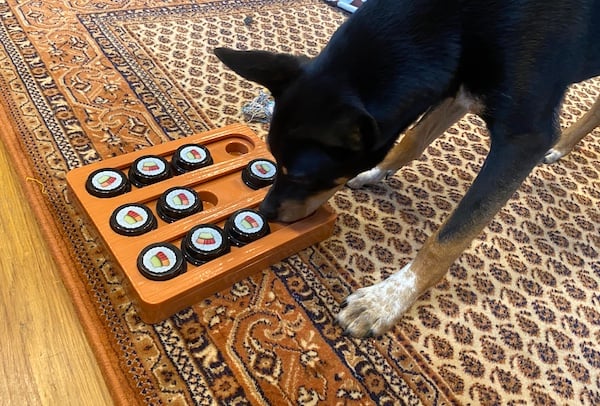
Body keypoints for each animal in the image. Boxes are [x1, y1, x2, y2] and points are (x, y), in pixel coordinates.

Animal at [216, 0, 600, 336]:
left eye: (301, 176)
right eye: (272, 157)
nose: (266, 212)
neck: (457, 19)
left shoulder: (524, 137)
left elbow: (448, 238)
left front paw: (385, 301)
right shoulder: (458, 82)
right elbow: (414, 137)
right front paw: (375, 172)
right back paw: (562, 146)